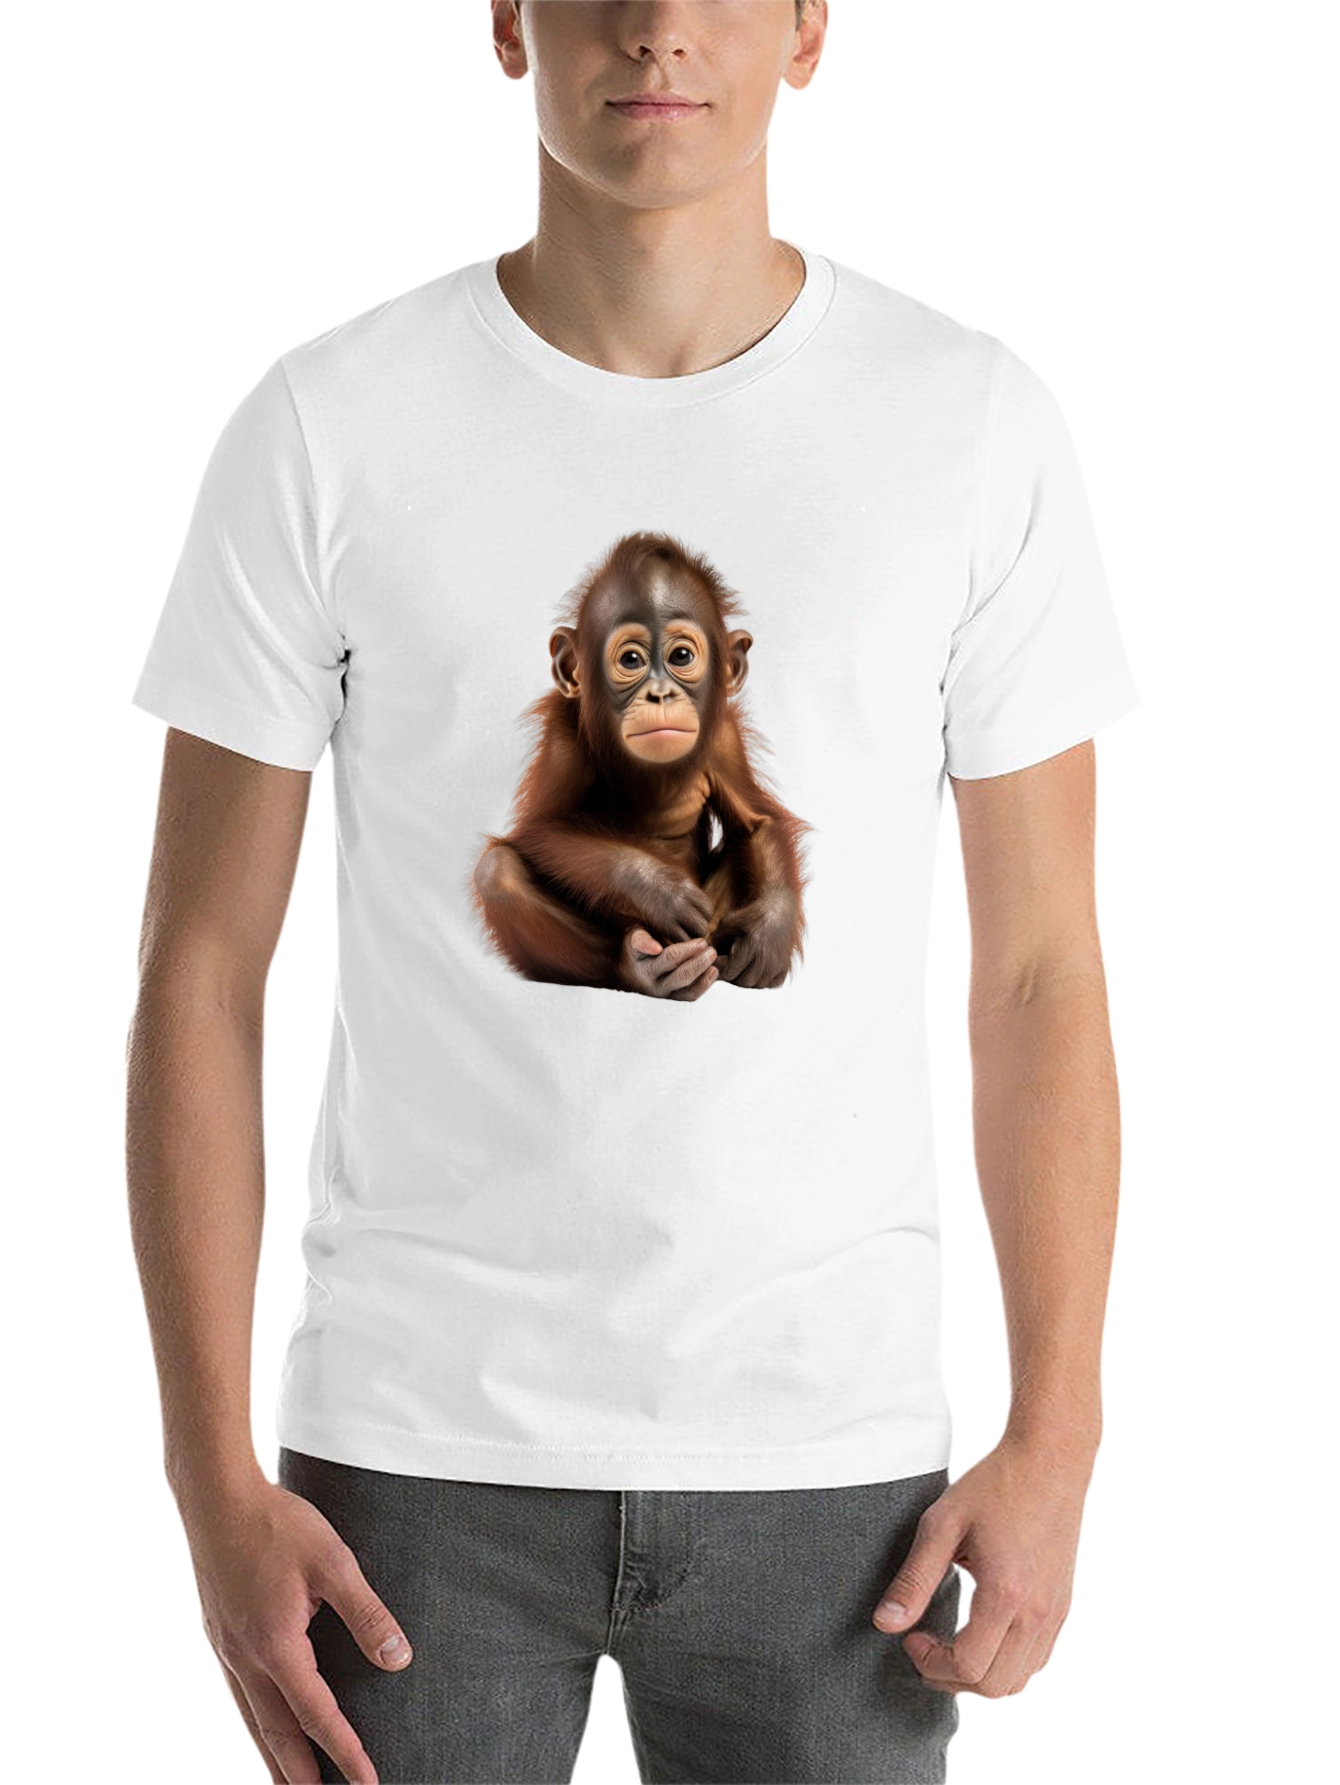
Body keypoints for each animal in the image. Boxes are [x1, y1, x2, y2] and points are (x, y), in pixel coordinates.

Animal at [465, 531, 813, 999]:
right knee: (496, 871)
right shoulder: (562, 732)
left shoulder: (724, 737)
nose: (660, 693)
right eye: (631, 660)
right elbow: (543, 827)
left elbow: (757, 821)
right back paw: (643, 969)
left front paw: (769, 934)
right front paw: (657, 889)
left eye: (681, 656)